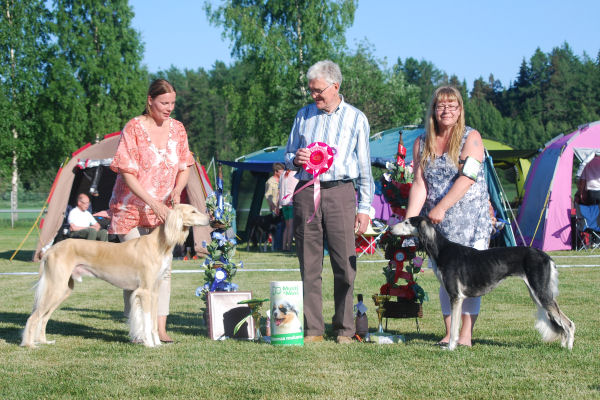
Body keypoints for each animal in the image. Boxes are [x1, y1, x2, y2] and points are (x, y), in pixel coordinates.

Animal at [21, 203, 209, 346]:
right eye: (193, 211)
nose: (210, 218)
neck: (158, 244)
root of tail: (51, 249)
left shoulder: (154, 292)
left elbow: (154, 323)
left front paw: (157, 343)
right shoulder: (145, 292)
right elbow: (147, 320)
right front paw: (149, 344)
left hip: (63, 289)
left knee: (43, 317)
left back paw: (44, 341)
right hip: (56, 287)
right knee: (34, 317)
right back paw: (29, 344)